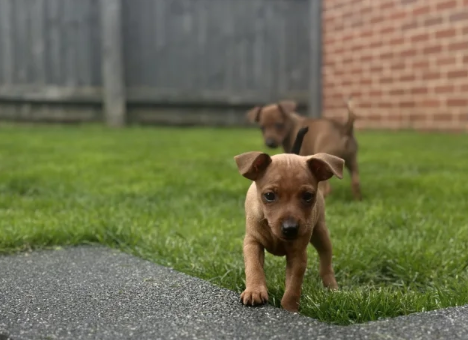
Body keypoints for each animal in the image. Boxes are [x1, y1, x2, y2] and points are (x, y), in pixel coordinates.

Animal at [233, 128, 344, 314]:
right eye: (269, 196)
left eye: (308, 196)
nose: (290, 228)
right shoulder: (252, 242)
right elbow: (254, 267)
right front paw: (254, 291)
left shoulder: (298, 254)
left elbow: (293, 286)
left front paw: (289, 308)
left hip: (321, 233)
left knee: (326, 261)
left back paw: (332, 287)